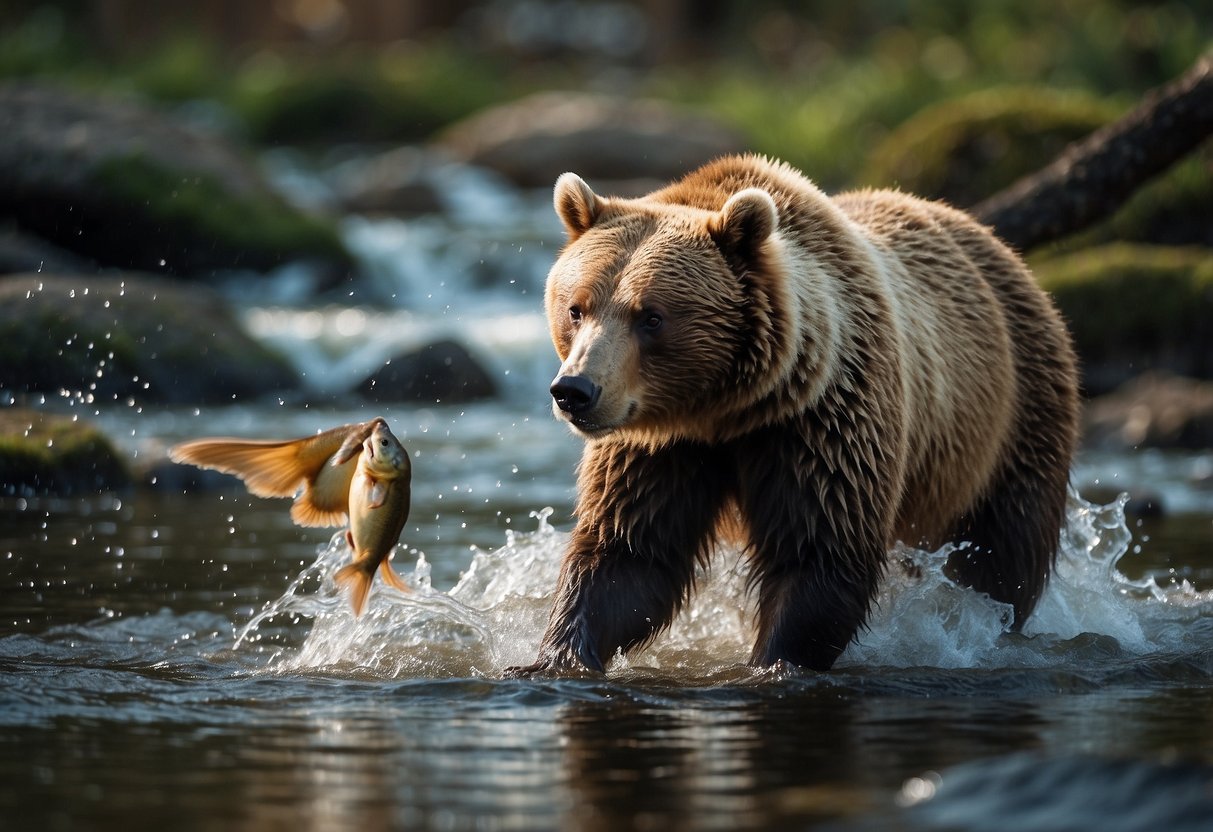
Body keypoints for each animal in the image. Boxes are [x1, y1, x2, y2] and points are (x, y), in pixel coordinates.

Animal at [507, 154, 1077, 679]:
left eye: (651, 316)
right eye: (576, 307)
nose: (574, 391)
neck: (722, 408)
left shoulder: (819, 422)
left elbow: (817, 552)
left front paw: (775, 662)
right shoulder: (658, 447)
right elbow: (629, 553)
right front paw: (556, 658)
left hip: (1013, 419)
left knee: (1002, 553)